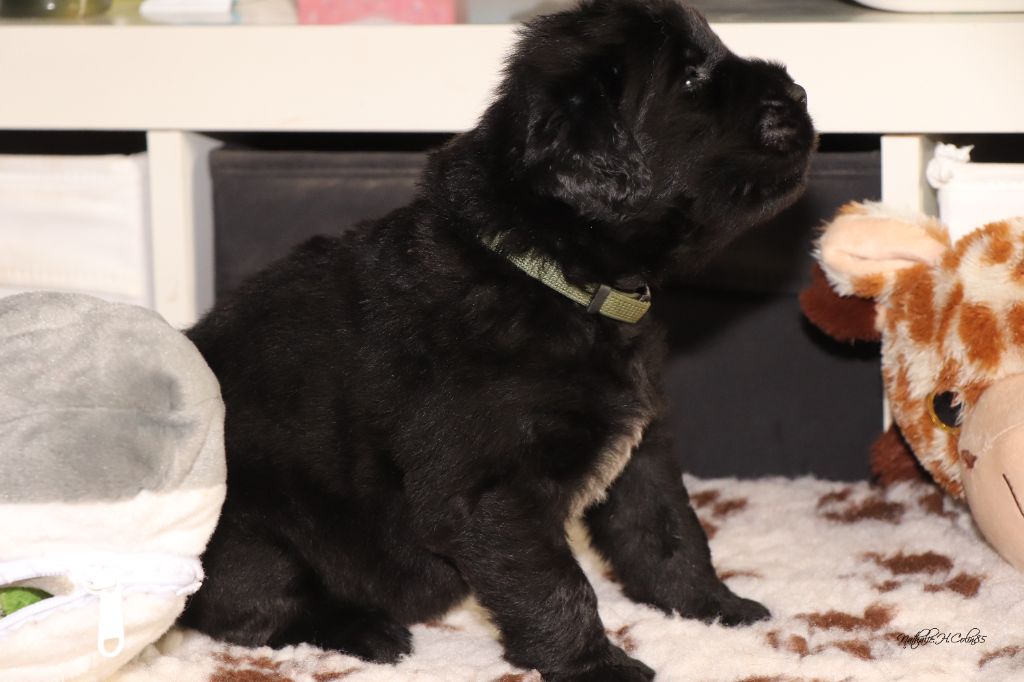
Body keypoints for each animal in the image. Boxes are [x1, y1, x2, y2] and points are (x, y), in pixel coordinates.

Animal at [179, 1, 815, 680]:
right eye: (691, 78)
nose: (800, 94)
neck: (551, 274)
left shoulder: (642, 451)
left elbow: (669, 531)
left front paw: (714, 607)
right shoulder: (491, 488)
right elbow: (557, 583)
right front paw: (596, 664)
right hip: (250, 531)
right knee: (247, 611)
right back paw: (365, 632)